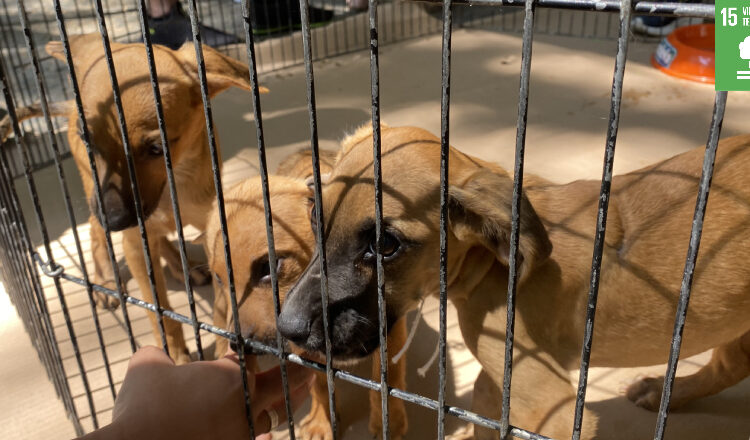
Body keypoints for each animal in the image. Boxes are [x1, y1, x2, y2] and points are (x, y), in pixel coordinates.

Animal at [33, 34, 268, 364]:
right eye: (86, 137)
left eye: (157, 148)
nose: (115, 220)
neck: (170, 190)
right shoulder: (134, 242)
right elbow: (161, 313)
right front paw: (176, 355)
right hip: (92, 189)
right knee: (94, 228)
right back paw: (105, 280)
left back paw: (181, 265)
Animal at [207, 149, 412, 440]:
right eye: (218, 277)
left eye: (270, 266)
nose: (238, 344)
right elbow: (319, 382)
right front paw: (321, 422)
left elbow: (389, 376)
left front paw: (390, 423)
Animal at [280, 124, 750, 440]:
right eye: (314, 213)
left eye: (385, 245)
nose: (287, 328)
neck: (491, 264)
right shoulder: (502, 379)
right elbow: (485, 407)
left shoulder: (550, 410)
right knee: (728, 367)